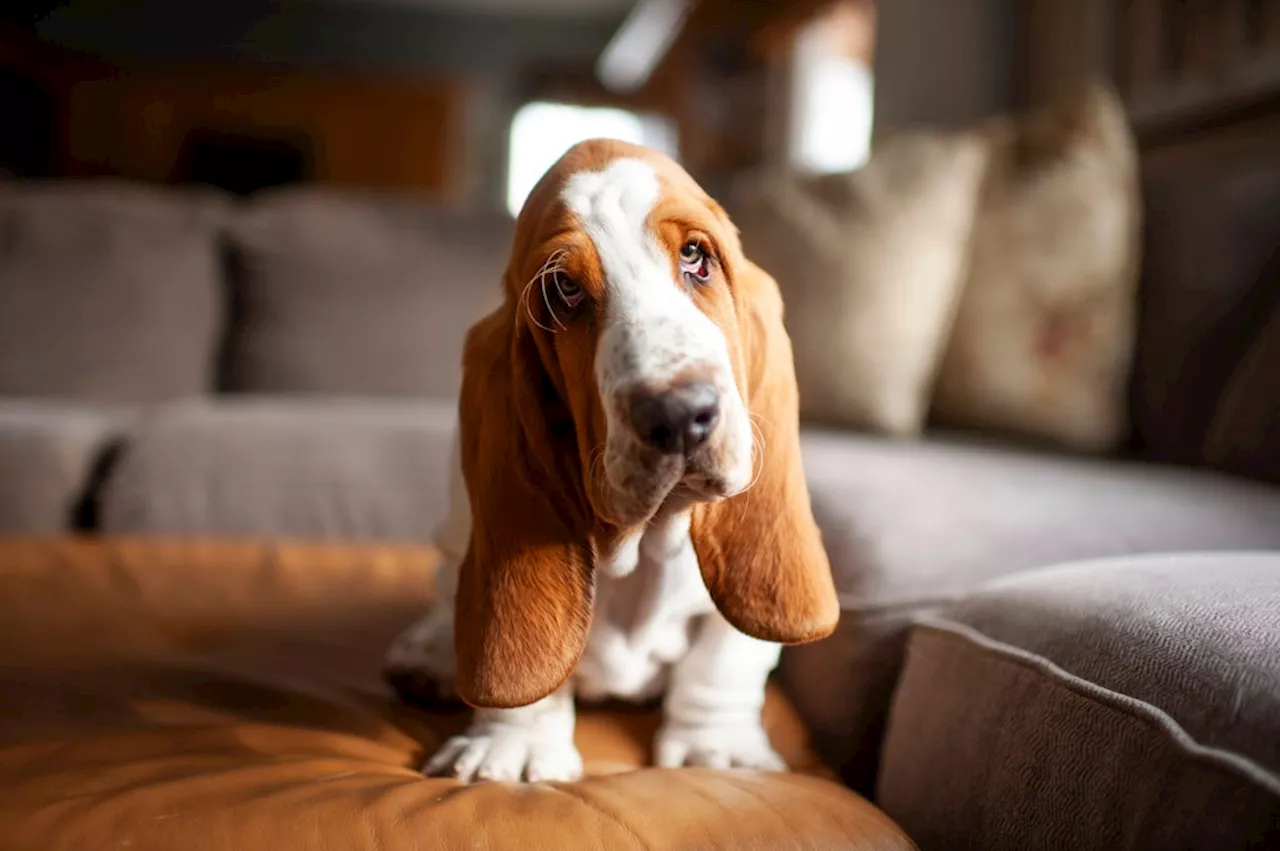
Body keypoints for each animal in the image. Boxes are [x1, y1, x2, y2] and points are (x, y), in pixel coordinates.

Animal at [384, 139, 834, 783]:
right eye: (564, 292)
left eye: (696, 256)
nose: (679, 414)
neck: (644, 542)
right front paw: (513, 748)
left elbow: (723, 659)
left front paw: (716, 748)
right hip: (451, 531)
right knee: (447, 587)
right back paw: (429, 656)